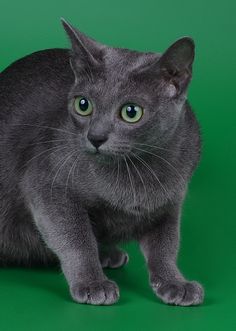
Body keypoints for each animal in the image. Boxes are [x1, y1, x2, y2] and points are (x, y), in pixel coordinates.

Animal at [0, 18, 204, 306]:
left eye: (131, 112)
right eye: (83, 105)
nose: (95, 137)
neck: (137, 172)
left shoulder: (170, 203)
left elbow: (166, 246)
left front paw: (175, 282)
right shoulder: (46, 185)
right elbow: (76, 238)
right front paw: (92, 282)